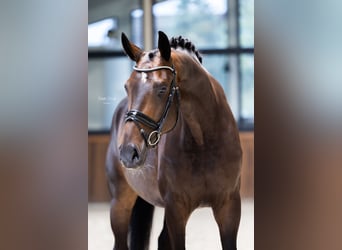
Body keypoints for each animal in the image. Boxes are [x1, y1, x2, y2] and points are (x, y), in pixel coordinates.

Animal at [105, 31, 242, 250]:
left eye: (162, 88)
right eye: (127, 87)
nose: (127, 153)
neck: (204, 142)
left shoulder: (229, 208)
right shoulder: (176, 210)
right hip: (120, 201)